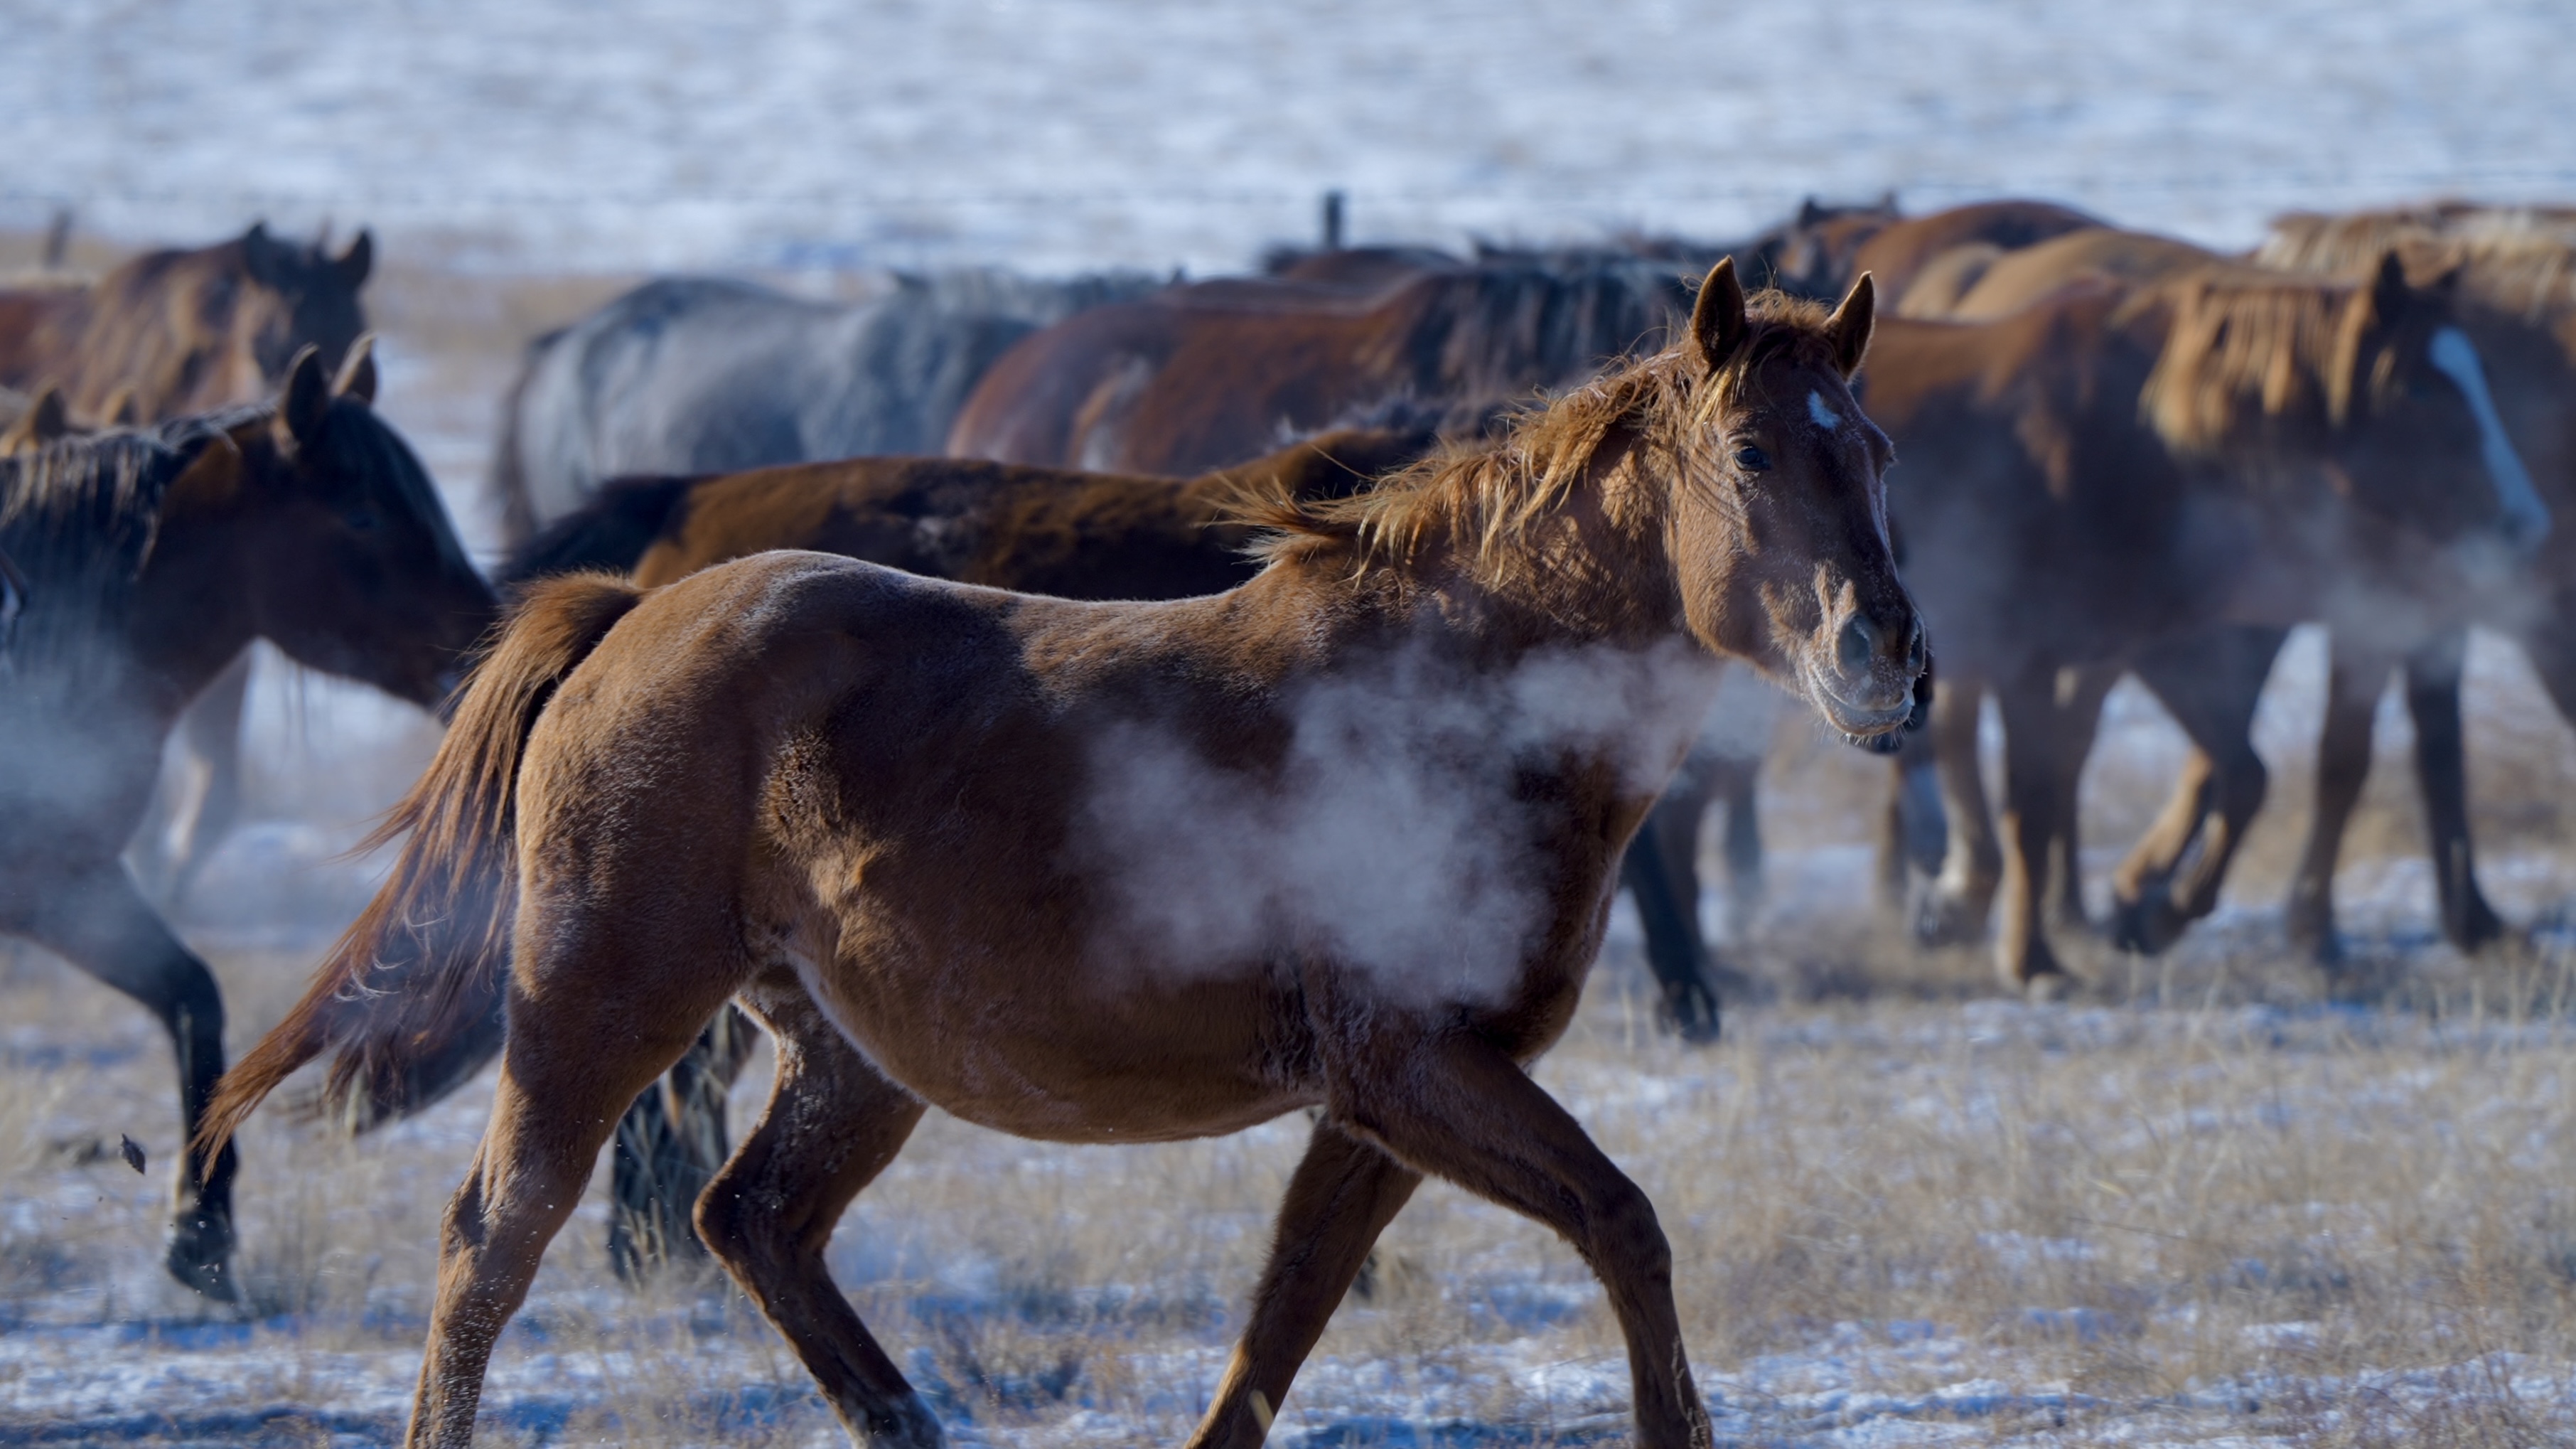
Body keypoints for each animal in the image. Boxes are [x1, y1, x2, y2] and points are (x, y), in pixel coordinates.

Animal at [0, 344, 492, 1298]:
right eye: (363, 515)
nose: (491, 647)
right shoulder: (55, 884)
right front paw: (202, 1227)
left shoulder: (71, 884)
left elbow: (194, 999)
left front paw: (201, 1234)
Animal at [1860, 254, 2534, 988]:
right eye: (2418, 390)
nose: (2523, 521)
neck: (2133, 434)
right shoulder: (2031, 660)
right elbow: (2033, 809)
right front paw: (2032, 960)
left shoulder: (2153, 647)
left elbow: (2244, 777)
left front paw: (2155, 914)